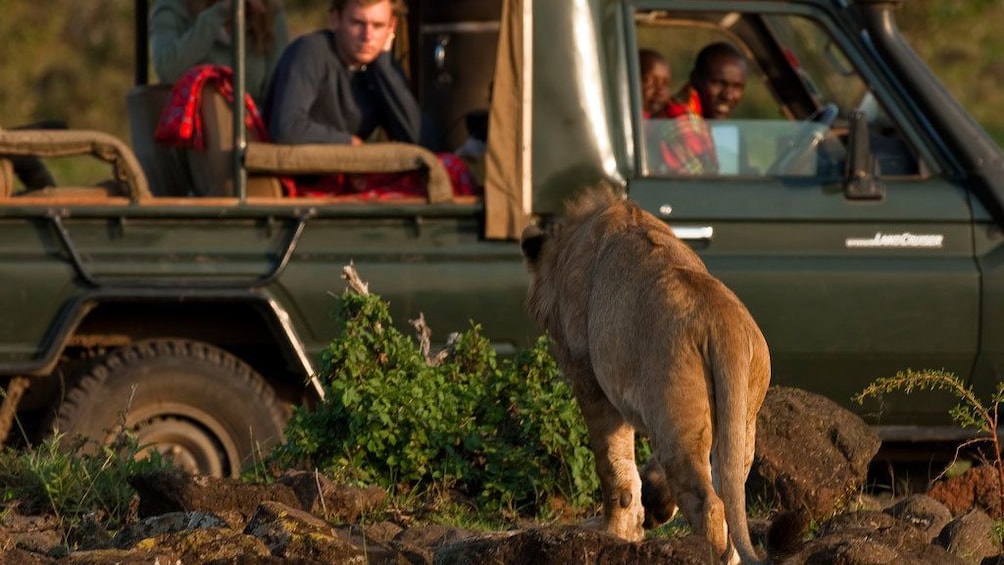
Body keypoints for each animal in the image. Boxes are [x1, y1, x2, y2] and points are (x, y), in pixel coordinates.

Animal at [518, 185, 767, 565]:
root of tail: (722, 323)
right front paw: (650, 507)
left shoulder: (591, 380)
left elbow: (613, 467)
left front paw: (615, 532)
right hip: (740, 418)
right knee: (729, 490)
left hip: (675, 415)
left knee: (709, 504)